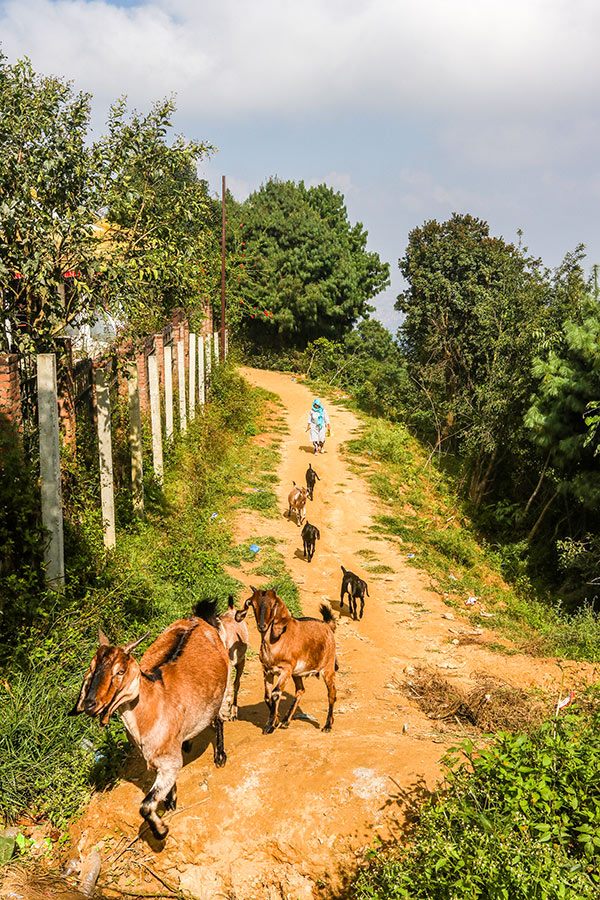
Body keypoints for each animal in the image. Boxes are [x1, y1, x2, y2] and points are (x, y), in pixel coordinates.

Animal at [70, 616, 229, 840]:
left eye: (120, 671)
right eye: (92, 668)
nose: (90, 704)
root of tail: (195, 618)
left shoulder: (171, 763)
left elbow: (145, 806)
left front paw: (161, 830)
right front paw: (170, 800)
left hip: (224, 686)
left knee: (220, 717)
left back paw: (220, 755)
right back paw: (187, 742)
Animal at [234, 592, 338, 732]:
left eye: (273, 605)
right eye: (253, 604)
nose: (262, 626)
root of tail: (328, 627)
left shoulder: (285, 670)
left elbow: (275, 693)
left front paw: (269, 726)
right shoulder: (267, 670)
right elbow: (267, 696)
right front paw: (276, 721)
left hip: (328, 667)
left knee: (332, 693)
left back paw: (327, 725)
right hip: (297, 673)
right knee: (300, 690)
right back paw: (285, 720)